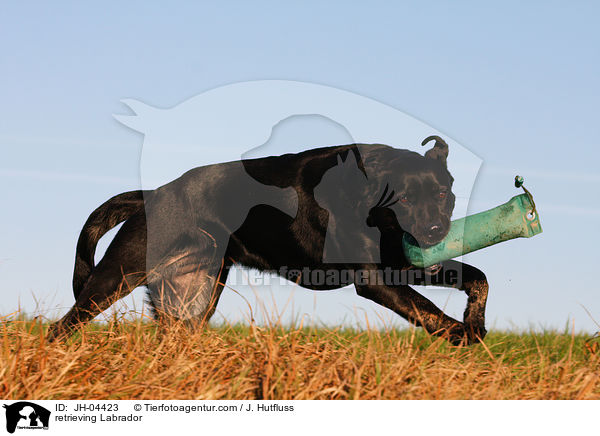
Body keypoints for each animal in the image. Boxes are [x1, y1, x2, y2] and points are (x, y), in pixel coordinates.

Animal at [47, 136, 488, 344]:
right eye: (405, 199)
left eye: (443, 194)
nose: (435, 231)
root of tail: (152, 194)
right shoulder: (375, 279)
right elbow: (429, 311)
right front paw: (461, 335)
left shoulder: (402, 266)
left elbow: (477, 278)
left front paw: (476, 325)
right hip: (116, 276)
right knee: (62, 326)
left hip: (192, 300)